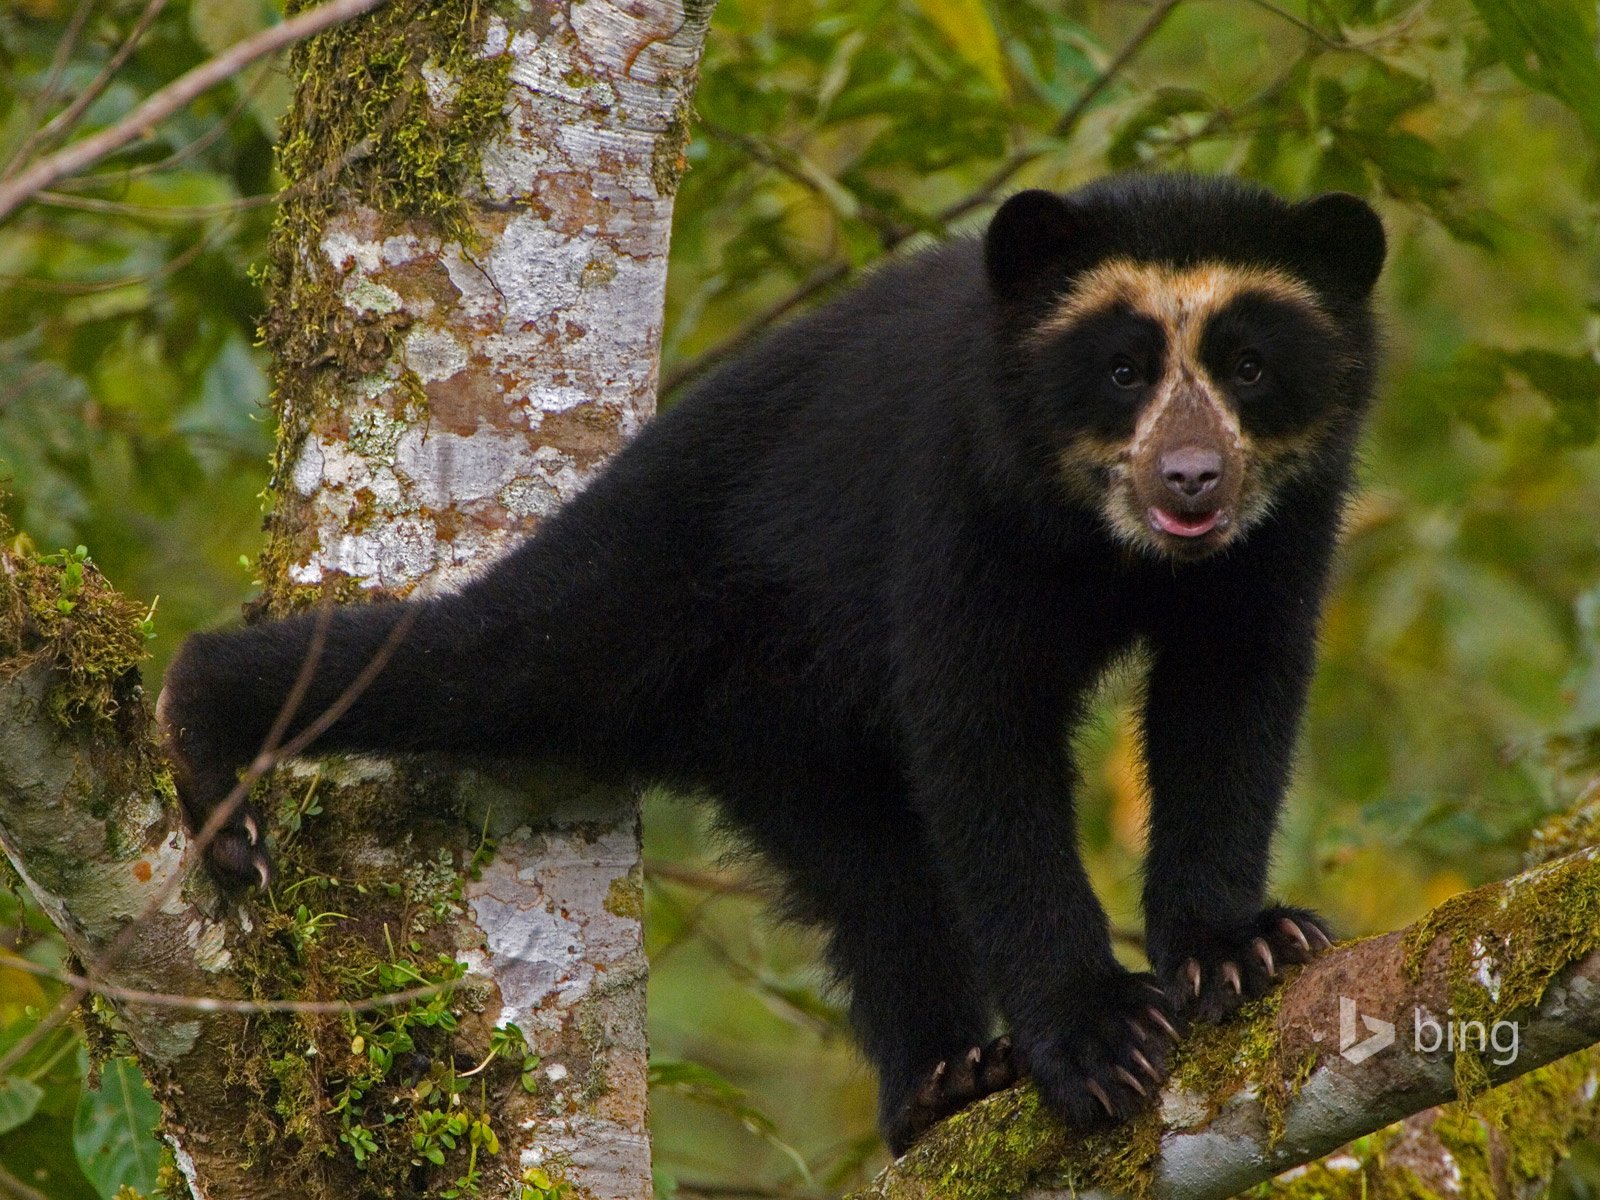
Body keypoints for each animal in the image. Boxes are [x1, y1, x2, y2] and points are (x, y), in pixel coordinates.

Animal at [159, 171, 1388, 1158]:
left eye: (1248, 365)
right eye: (1125, 370)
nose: (1192, 479)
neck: (1105, 539)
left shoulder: (1281, 531)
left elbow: (1231, 696)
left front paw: (1244, 947)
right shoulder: (954, 494)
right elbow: (980, 735)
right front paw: (1097, 1038)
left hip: (788, 736)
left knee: (878, 882)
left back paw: (941, 1084)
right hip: (656, 583)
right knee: (480, 659)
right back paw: (207, 730)